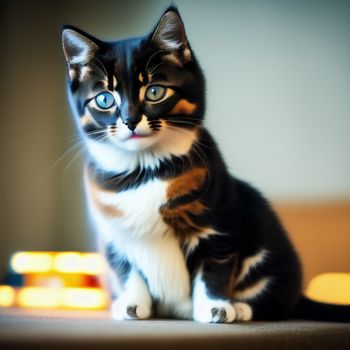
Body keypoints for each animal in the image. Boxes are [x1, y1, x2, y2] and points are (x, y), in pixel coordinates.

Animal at [63, 6, 350, 322]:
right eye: (104, 99)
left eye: (154, 92)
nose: (130, 120)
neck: (146, 168)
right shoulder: (112, 233)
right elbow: (126, 270)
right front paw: (131, 305)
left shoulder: (220, 220)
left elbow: (215, 267)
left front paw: (215, 308)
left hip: (272, 245)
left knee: (278, 301)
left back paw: (241, 308)